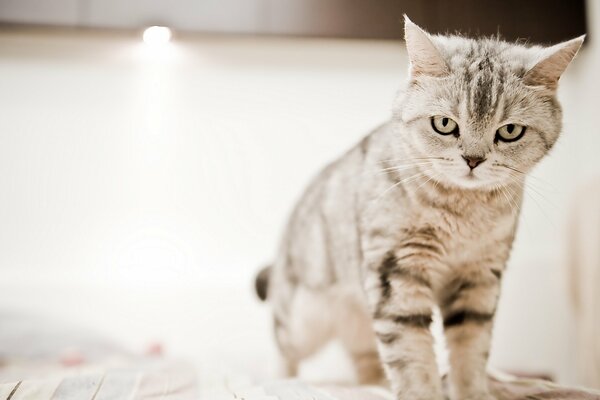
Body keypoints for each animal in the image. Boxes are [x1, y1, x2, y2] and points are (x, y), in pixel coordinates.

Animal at [255, 15, 584, 400]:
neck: (463, 213)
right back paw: (276, 382)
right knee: (282, 345)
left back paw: (377, 386)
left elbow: (470, 353)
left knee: (365, 361)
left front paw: (472, 392)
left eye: (510, 131)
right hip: (303, 318)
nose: (473, 159)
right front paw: (423, 390)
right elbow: (413, 355)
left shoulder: (479, 280)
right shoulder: (397, 272)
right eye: (444, 124)